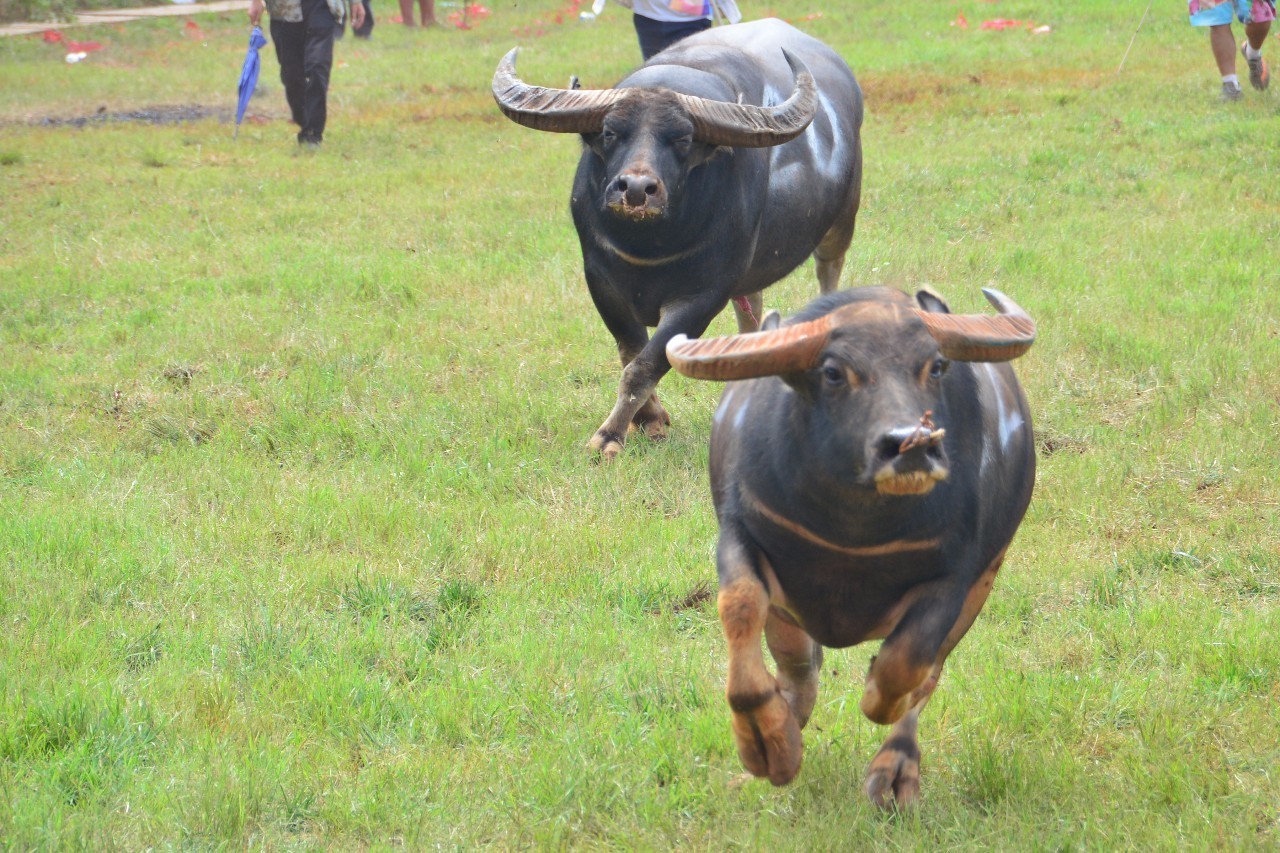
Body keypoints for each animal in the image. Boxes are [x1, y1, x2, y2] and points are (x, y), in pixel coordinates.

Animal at [494, 18, 865, 458]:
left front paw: (608, 437)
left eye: (683, 140)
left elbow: (646, 365)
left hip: (840, 226)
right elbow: (630, 352)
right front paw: (650, 419)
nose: (636, 189)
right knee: (750, 309)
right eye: (610, 132)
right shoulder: (601, 282)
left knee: (829, 275)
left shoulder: (702, 297)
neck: (649, 246)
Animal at [665, 284, 1034, 804]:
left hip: (986, 579)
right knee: (799, 665)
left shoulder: (957, 577)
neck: (854, 529)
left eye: (936, 365)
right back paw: (787, 732)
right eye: (834, 372)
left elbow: (907, 664)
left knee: (930, 670)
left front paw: (878, 695)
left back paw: (895, 771)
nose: (912, 444)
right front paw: (765, 742)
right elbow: (739, 608)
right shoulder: (739, 534)